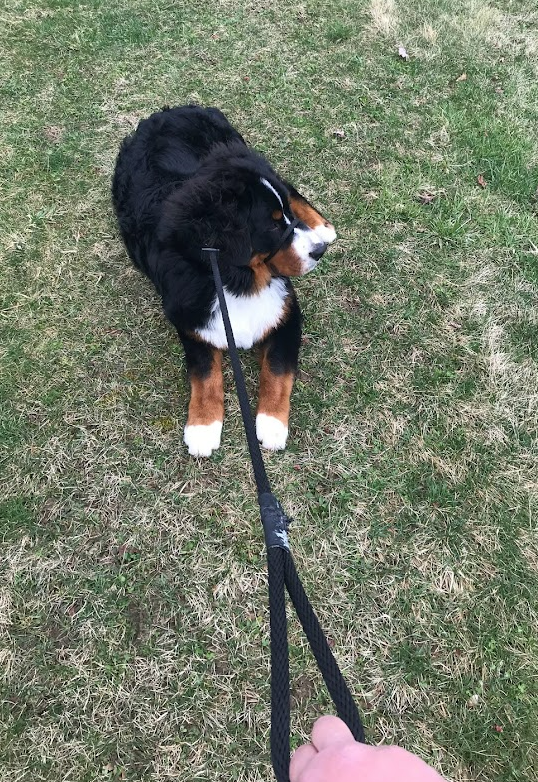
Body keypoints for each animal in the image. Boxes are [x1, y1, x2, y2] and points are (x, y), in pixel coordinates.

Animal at [111, 105, 332, 460]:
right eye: (272, 227)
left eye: (283, 218)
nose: (318, 251)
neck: (235, 280)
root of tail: (175, 109)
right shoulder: (193, 322)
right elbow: (205, 374)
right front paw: (203, 426)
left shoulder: (287, 315)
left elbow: (277, 369)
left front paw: (271, 424)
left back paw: (323, 226)